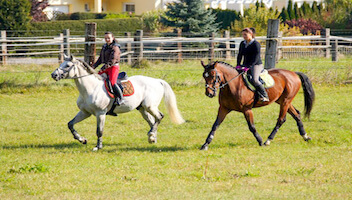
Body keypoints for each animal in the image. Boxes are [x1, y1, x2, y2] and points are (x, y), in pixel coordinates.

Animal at [51, 55, 187, 151]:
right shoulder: (85, 112)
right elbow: (70, 124)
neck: (90, 88)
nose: (54, 75)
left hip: (150, 106)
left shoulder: (100, 113)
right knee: (152, 121)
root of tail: (157, 81)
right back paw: (152, 138)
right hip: (142, 108)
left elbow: (99, 131)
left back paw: (151, 135)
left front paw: (98, 147)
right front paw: (82, 139)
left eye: (68, 65)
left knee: (159, 117)